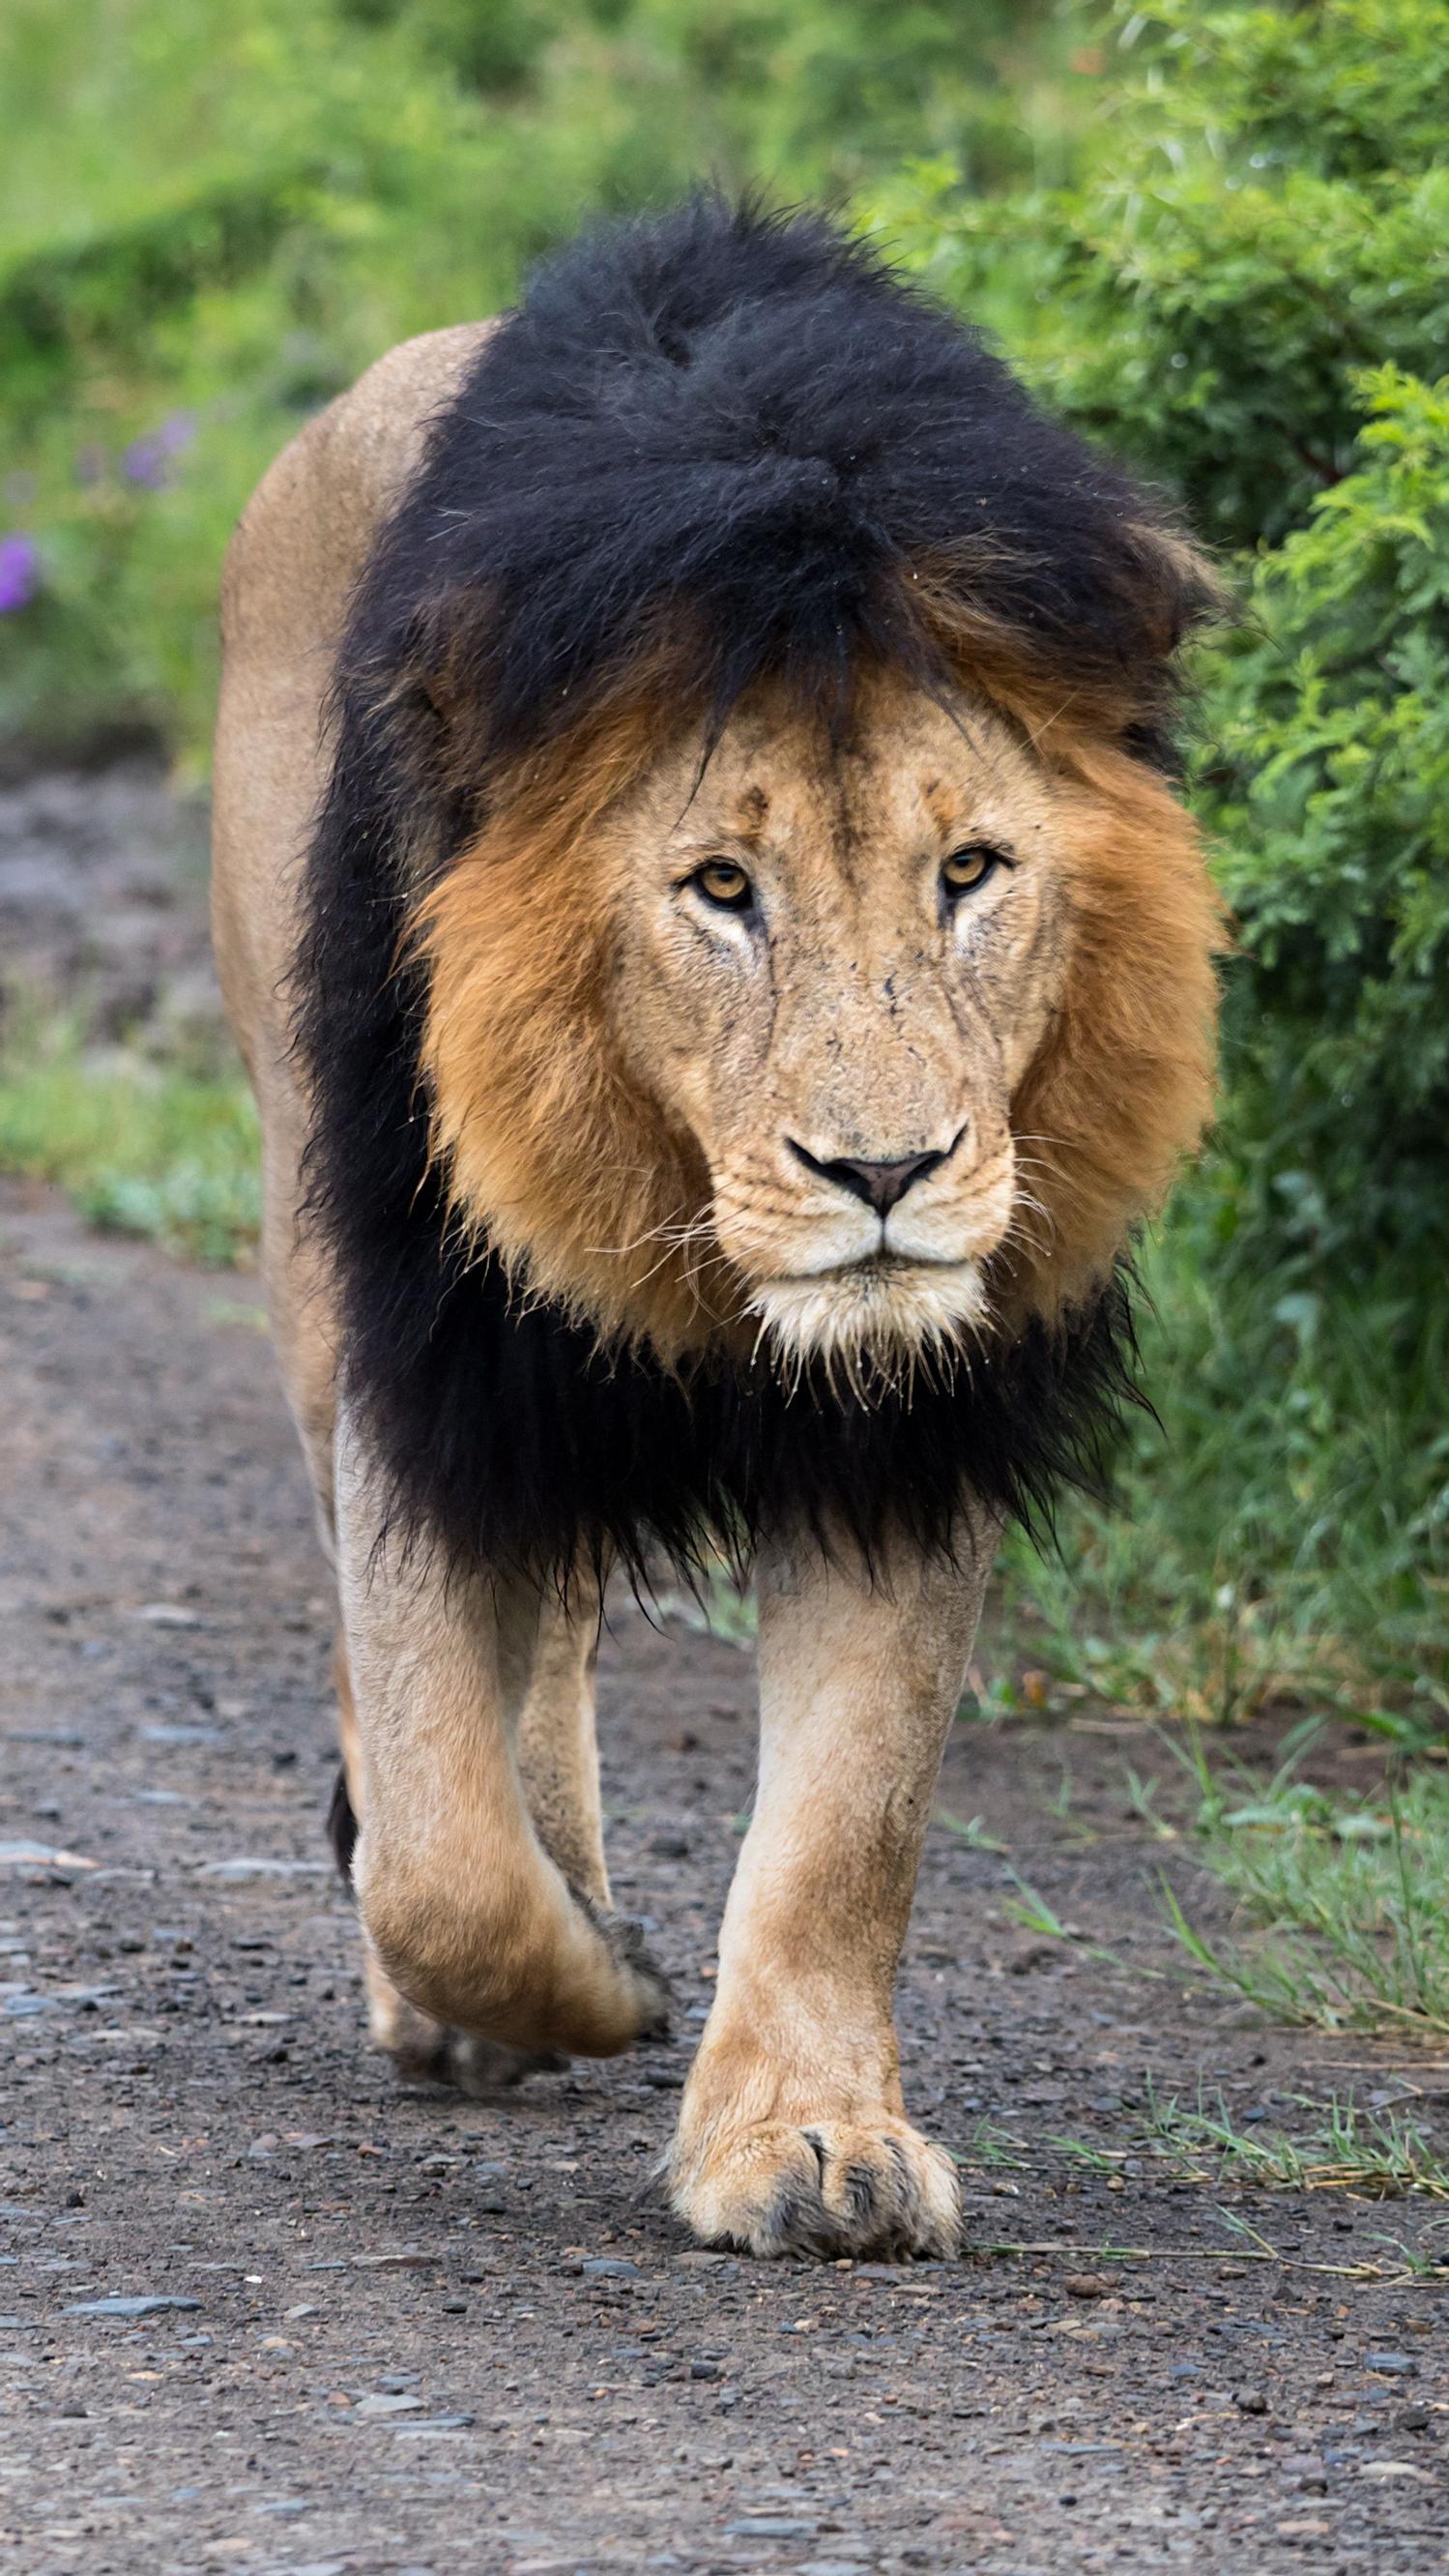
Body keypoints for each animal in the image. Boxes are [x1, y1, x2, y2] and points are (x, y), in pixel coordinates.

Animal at [207, 200, 1225, 2256]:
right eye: (718, 889)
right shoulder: (432, 1350)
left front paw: (807, 2133)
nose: (885, 1172)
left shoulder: (915, 1415)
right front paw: (571, 1982)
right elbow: (437, 1842)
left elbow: (848, 1820)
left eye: (967, 868)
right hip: (306, 1238)